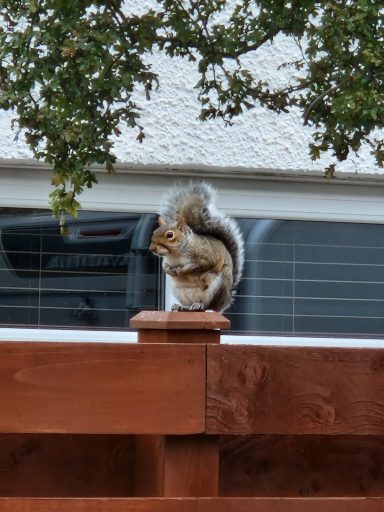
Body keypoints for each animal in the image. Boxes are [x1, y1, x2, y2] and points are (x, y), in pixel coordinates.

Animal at [148, 184, 244, 312]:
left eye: (170, 235)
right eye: (154, 232)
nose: (152, 248)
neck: (175, 253)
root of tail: (226, 300)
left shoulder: (205, 255)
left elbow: (202, 264)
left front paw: (182, 270)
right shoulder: (166, 261)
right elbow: (165, 267)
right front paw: (170, 270)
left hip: (220, 285)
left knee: (211, 305)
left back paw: (205, 307)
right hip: (181, 292)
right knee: (190, 306)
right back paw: (181, 306)